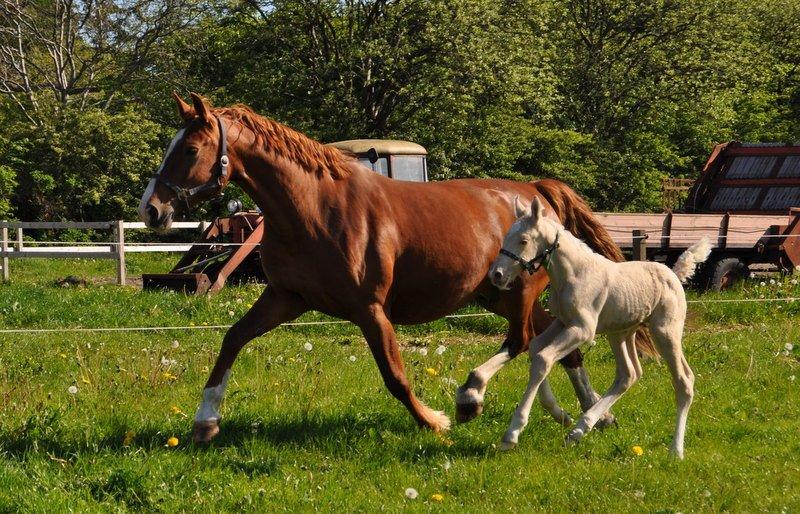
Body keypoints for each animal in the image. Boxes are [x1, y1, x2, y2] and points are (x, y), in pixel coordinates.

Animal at [141, 93, 636, 440]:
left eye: (190, 149)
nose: (152, 210)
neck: (315, 208)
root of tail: (536, 191)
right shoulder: (286, 297)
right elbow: (232, 340)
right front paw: (206, 421)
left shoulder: (370, 309)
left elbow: (394, 375)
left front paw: (434, 421)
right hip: (494, 293)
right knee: (552, 343)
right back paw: (585, 414)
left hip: (516, 293)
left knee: (524, 340)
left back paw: (472, 397)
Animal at [488, 196, 712, 456]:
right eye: (506, 237)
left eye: (523, 240)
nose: (497, 275)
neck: (574, 274)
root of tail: (675, 274)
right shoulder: (563, 322)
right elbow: (536, 350)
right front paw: (557, 413)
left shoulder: (583, 330)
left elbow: (544, 358)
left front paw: (512, 434)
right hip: (621, 333)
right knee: (629, 374)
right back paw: (578, 430)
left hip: (665, 331)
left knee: (684, 380)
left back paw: (676, 450)